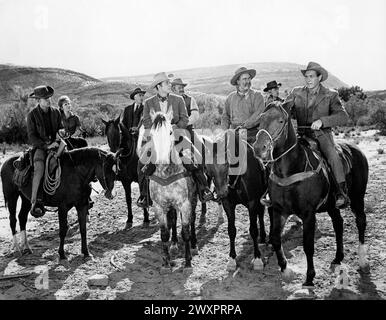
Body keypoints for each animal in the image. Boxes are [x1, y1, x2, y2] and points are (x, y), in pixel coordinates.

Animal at [145, 110, 199, 270]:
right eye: (152, 134)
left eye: (170, 132)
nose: (162, 160)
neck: (167, 173)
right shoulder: (159, 207)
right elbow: (164, 233)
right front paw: (166, 262)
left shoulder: (184, 204)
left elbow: (186, 231)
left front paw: (187, 262)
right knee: (174, 220)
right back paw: (174, 244)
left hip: (193, 200)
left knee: (192, 220)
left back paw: (194, 245)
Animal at [202, 129, 272, 272]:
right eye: (208, 167)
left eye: (226, 164)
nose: (222, 192)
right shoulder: (228, 204)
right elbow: (231, 230)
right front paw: (232, 259)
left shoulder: (252, 202)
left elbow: (253, 230)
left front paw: (257, 259)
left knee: (261, 214)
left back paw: (263, 237)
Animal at [252, 102, 370, 288]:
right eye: (260, 119)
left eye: (280, 120)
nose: (258, 148)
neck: (292, 169)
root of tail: (356, 149)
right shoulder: (279, 211)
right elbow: (275, 239)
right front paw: (286, 271)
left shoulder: (308, 214)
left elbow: (308, 245)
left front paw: (309, 277)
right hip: (332, 205)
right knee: (338, 224)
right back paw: (338, 258)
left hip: (358, 198)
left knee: (361, 222)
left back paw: (363, 260)